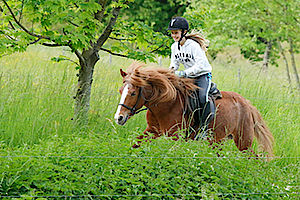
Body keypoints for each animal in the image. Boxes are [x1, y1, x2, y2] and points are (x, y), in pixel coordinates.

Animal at [114, 63, 274, 157]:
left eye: (133, 93)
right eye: (121, 90)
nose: (119, 118)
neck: (165, 102)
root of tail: (247, 104)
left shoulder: (175, 136)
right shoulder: (152, 131)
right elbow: (135, 145)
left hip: (243, 142)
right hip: (218, 141)